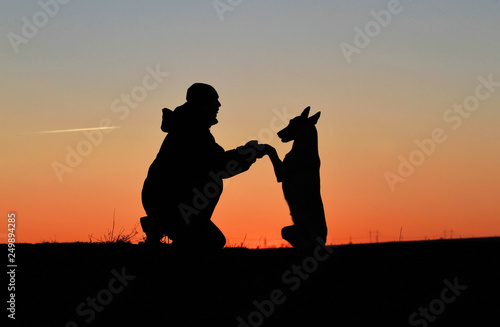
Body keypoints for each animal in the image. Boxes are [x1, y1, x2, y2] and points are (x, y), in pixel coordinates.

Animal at [266, 107, 328, 249]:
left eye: (291, 122)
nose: (278, 133)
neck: (305, 146)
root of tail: (324, 239)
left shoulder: (281, 173)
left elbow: (272, 150)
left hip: (307, 233)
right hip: (286, 230)